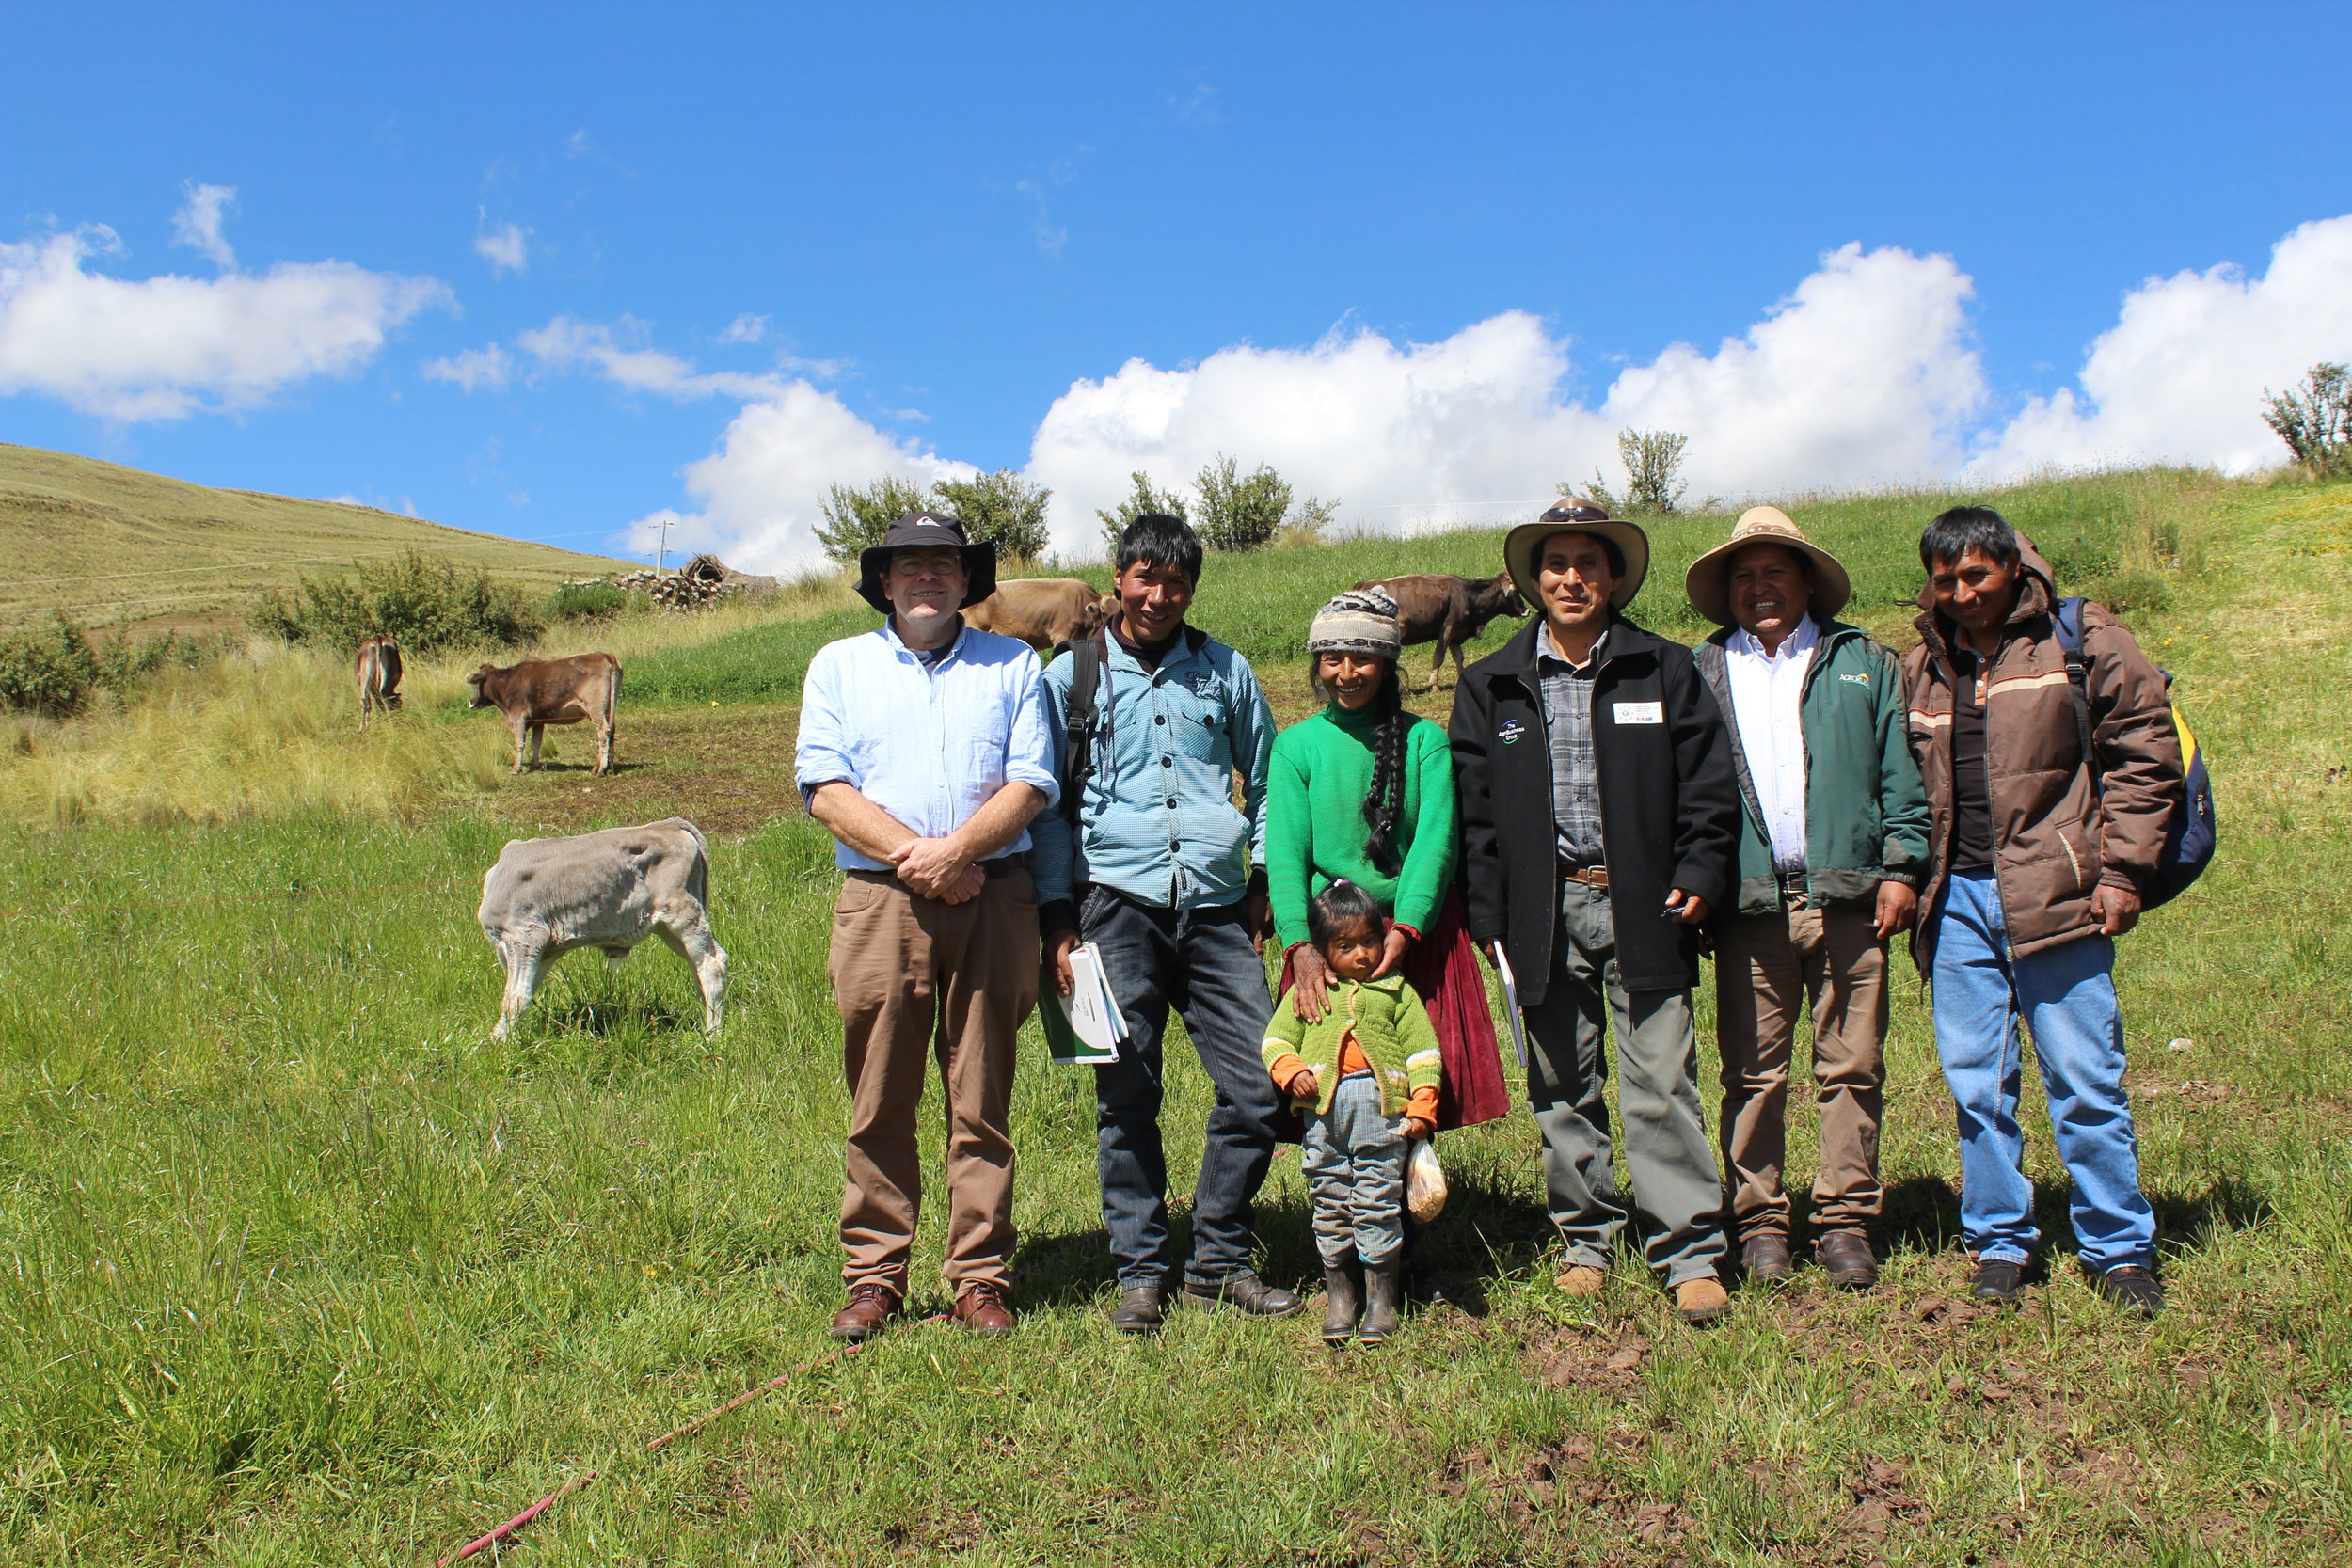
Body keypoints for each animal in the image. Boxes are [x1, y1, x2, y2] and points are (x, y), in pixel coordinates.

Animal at [458, 648, 621, 770]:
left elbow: (519, 743)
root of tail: (606, 656)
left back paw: (601, 770)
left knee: (603, 732)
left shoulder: (518, 717)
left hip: (595, 709)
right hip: (607, 709)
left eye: (475, 684)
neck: (507, 683)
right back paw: (600, 767)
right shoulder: (538, 720)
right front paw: (533, 766)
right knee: (610, 731)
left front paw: (516, 768)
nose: (471, 702)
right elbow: (536, 743)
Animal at [1355, 571, 1534, 690]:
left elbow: (1459, 658)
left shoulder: (1456, 635)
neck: (1467, 595)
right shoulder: (1448, 627)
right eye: (1516, 591)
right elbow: (1439, 656)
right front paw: (1434, 686)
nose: (1526, 610)